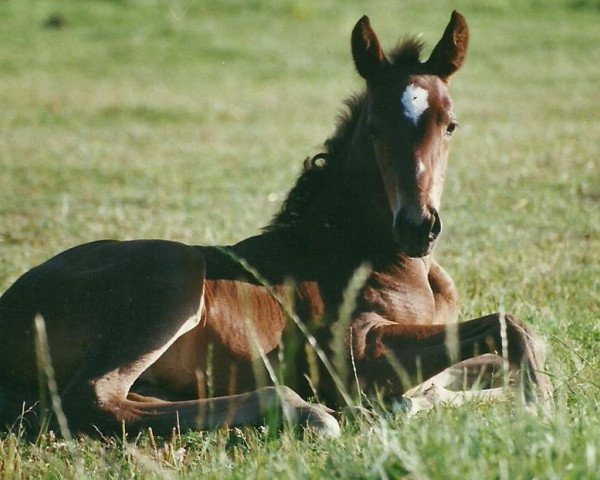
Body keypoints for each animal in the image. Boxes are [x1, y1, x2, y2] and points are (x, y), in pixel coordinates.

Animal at [0, 12, 552, 438]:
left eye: (450, 125)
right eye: (375, 127)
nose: (418, 227)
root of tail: (9, 304)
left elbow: (500, 359)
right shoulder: (355, 352)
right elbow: (509, 327)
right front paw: (539, 409)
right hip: (176, 267)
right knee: (92, 397)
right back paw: (304, 411)